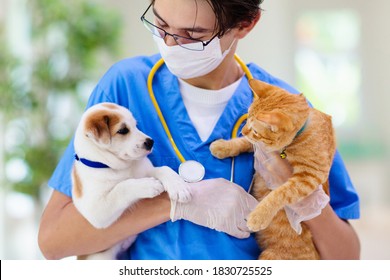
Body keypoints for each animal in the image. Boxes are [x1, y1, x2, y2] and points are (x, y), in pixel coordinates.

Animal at [72, 101, 192, 260]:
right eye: (123, 130)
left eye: (136, 125)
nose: (151, 142)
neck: (118, 167)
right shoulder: (96, 209)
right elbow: (122, 186)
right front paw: (149, 185)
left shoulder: (146, 170)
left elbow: (164, 169)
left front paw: (178, 186)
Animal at [210, 79, 336, 260]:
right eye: (247, 119)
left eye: (255, 130)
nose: (242, 130)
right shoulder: (259, 146)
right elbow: (244, 143)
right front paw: (223, 146)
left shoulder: (309, 176)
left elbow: (280, 193)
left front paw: (258, 216)